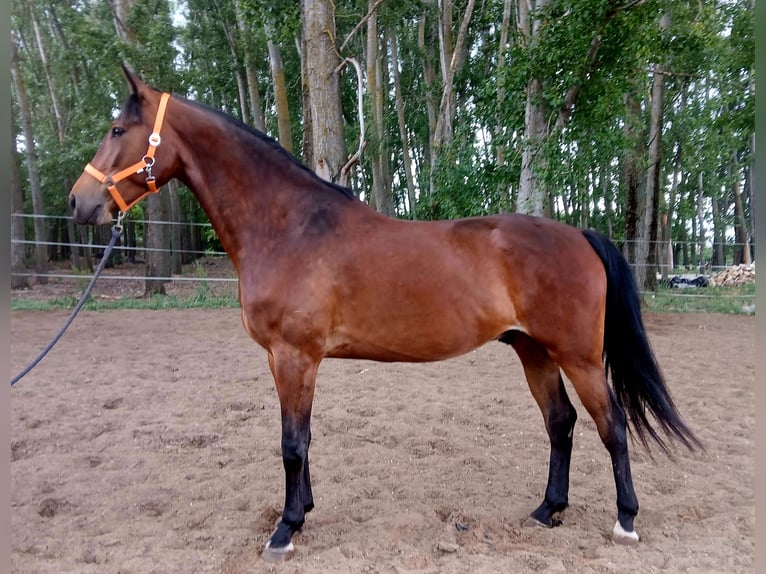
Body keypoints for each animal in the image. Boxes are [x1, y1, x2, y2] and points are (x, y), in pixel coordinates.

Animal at [68, 66, 701, 562]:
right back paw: (548, 510)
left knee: (610, 425)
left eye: (117, 130)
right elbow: (301, 439)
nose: (79, 202)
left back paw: (625, 521)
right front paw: (303, 511)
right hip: (533, 351)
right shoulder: (290, 361)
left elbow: (291, 443)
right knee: (561, 423)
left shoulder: (293, 357)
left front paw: (285, 531)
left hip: (577, 355)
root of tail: (579, 234)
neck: (291, 227)